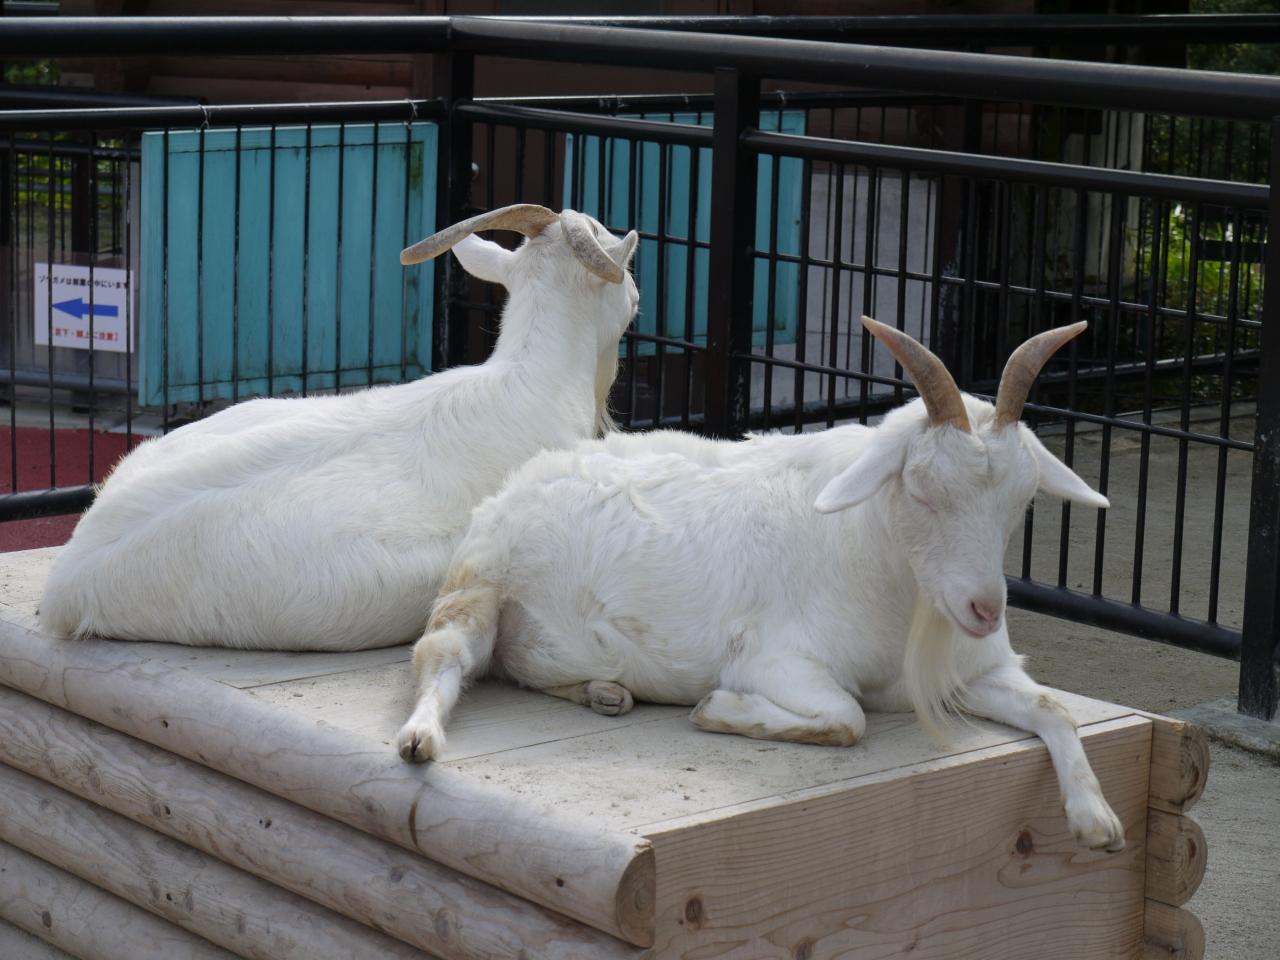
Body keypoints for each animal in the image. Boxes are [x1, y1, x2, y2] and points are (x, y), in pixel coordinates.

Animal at [397, 316, 1126, 852]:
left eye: (1021, 501)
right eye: (922, 491)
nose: (982, 609)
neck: (877, 560)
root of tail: (523, 478)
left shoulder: (969, 674)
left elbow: (1055, 709)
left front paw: (1098, 821)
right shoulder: (775, 660)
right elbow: (847, 718)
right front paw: (719, 709)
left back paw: (604, 691)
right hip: (478, 588)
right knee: (442, 656)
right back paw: (420, 739)